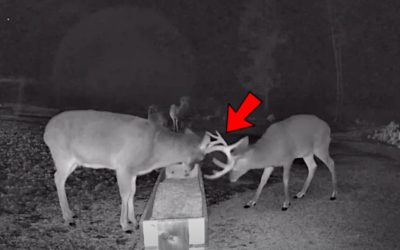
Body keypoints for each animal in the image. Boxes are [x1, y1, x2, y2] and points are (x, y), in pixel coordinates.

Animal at [43, 110, 211, 232]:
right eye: (202, 157)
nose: (189, 171)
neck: (155, 148)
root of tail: (46, 132)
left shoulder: (133, 172)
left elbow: (132, 192)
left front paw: (134, 220)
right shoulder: (123, 166)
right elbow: (124, 194)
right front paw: (125, 225)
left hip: (73, 161)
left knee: (58, 177)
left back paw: (70, 214)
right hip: (62, 155)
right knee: (58, 178)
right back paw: (68, 218)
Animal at [203, 115, 338, 211]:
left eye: (236, 166)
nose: (231, 179)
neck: (269, 150)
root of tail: (328, 127)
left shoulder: (288, 158)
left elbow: (285, 180)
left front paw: (286, 203)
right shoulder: (270, 164)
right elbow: (262, 180)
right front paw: (251, 202)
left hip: (321, 146)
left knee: (331, 163)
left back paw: (333, 194)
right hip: (307, 152)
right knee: (313, 166)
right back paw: (300, 193)